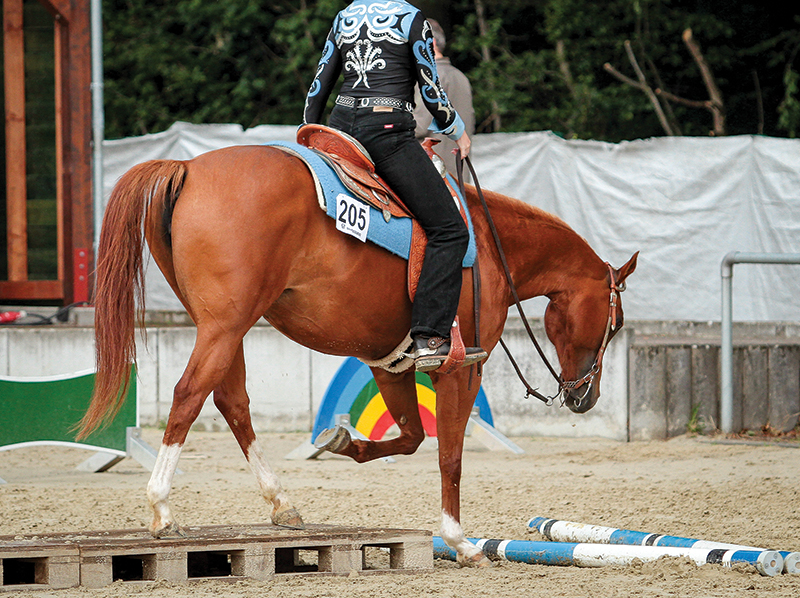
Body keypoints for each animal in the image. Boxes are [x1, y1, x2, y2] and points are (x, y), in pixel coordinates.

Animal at [78, 143, 638, 566]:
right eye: (615, 324)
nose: (586, 397)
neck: (488, 245)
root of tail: (188, 167)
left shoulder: (388, 364)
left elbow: (410, 438)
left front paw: (342, 442)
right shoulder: (461, 368)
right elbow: (449, 453)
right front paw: (460, 541)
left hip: (222, 329)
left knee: (232, 403)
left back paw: (282, 503)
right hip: (223, 327)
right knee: (188, 396)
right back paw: (162, 509)